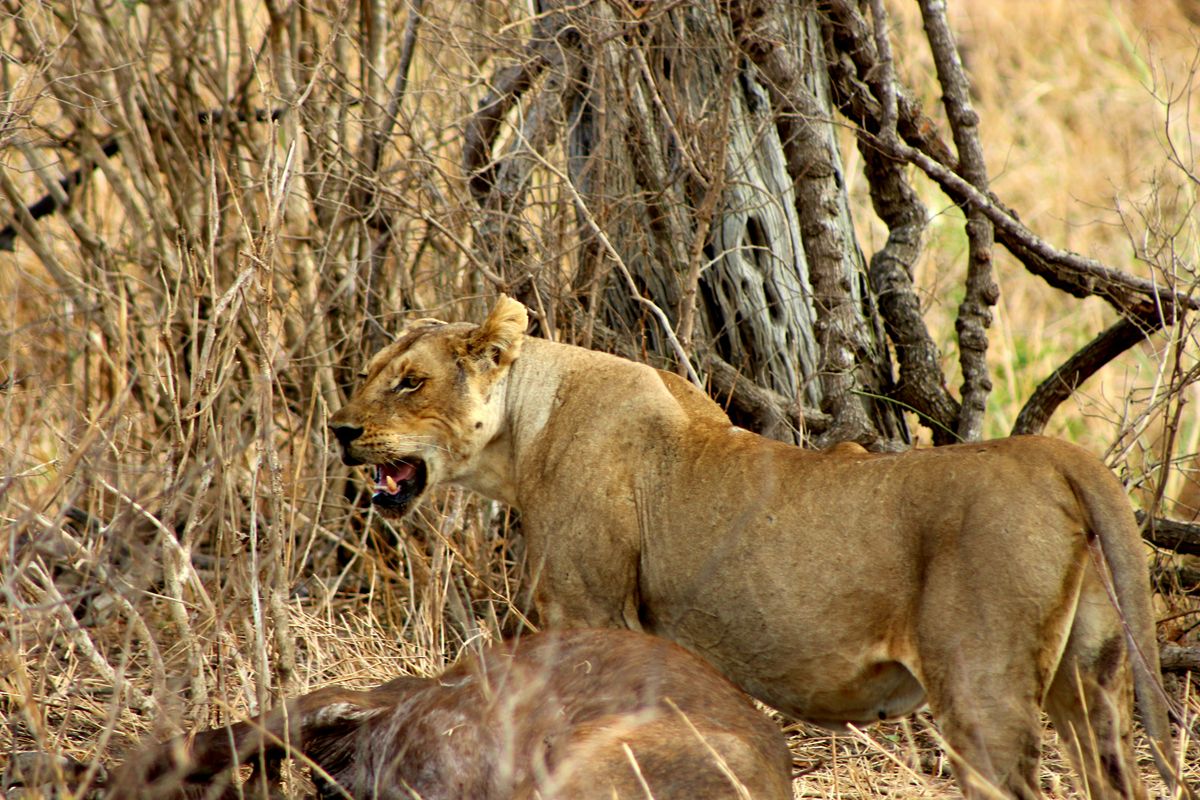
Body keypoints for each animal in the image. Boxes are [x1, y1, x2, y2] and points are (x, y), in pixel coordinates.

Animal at [330, 296, 1191, 800]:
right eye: (369, 373)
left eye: (410, 383)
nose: (340, 429)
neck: (525, 429)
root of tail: (1051, 453)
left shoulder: (589, 609)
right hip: (1090, 681)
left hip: (983, 690)